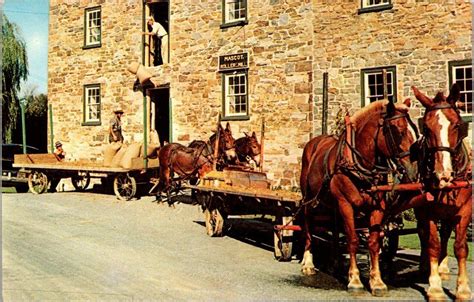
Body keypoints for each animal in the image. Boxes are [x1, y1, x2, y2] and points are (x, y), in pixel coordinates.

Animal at [300, 99, 414, 294]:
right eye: (398, 131)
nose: (412, 168)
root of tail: (313, 142)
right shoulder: (346, 204)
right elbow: (352, 240)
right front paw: (354, 280)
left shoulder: (377, 207)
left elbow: (374, 242)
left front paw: (377, 281)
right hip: (310, 200)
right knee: (308, 225)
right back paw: (308, 263)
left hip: (332, 203)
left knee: (335, 227)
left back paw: (335, 263)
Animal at [410, 84, 472, 300]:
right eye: (426, 129)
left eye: (456, 125)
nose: (442, 174)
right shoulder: (426, 211)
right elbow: (432, 244)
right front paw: (435, 287)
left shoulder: (464, 211)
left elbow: (460, 247)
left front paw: (463, 289)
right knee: (423, 234)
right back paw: (426, 267)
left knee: (445, 233)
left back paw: (443, 268)